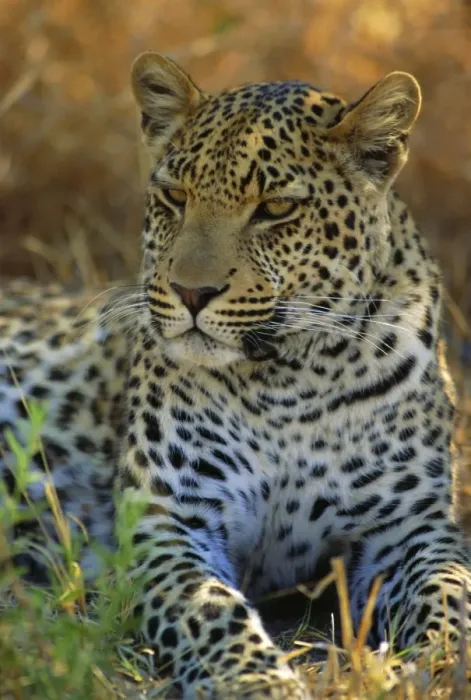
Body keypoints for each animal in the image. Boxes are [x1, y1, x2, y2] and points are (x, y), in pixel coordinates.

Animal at [2, 51, 471, 698]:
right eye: (175, 196)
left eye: (275, 208)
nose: (190, 292)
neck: (292, 382)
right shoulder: (170, 519)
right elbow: (211, 611)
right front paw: (259, 682)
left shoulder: (411, 528)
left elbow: (449, 594)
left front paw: (445, 664)